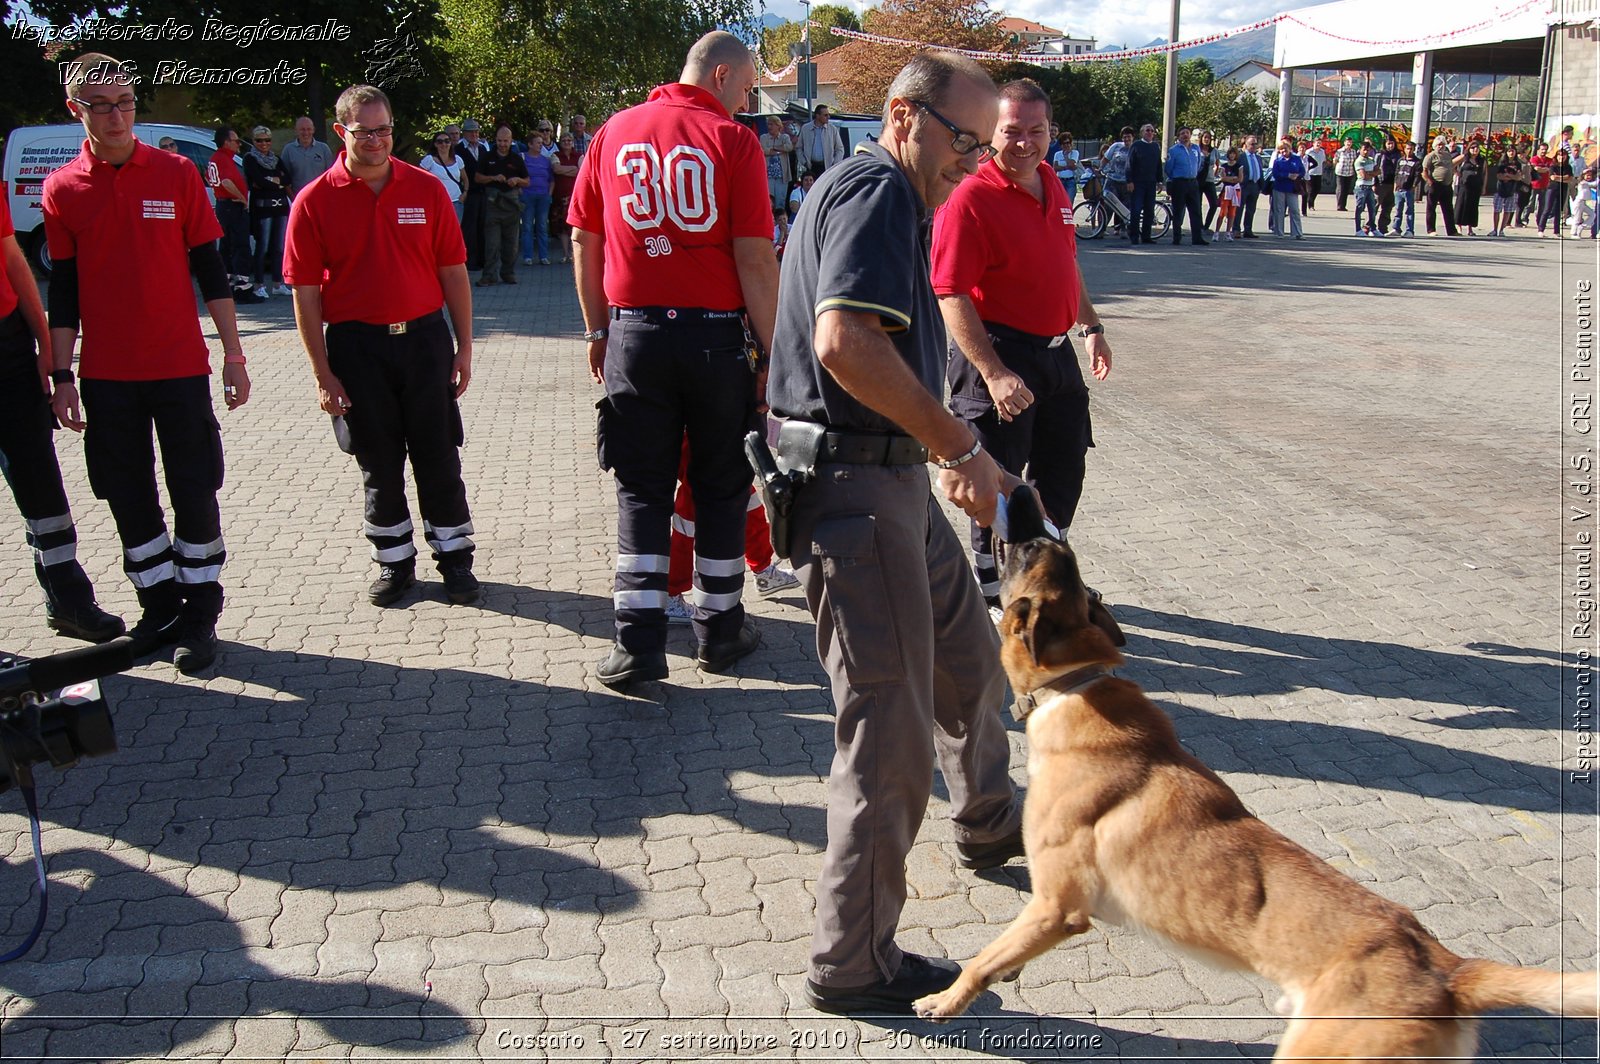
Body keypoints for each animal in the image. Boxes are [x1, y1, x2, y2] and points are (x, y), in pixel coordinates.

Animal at [921, 534, 1593, 1056]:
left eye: (1034, 563)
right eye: (1072, 574)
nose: (1035, 528)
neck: (1076, 686)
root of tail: (1445, 968)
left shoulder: (1054, 906)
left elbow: (982, 959)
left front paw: (947, 1001)